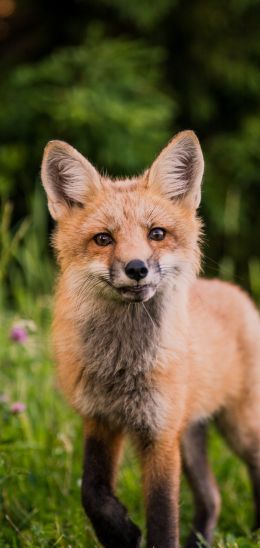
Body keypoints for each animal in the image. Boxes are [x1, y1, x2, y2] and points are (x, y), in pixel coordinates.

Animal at [41, 131, 260, 544]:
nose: (137, 268)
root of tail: (236, 292)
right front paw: (121, 533)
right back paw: (200, 541)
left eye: (156, 234)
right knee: (213, 497)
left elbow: (162, 515)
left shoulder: (159, 434)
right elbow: (91, 491)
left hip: (239, 428)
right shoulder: (101, 418)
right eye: (103, 239)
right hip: (189, 436)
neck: (122, 366)